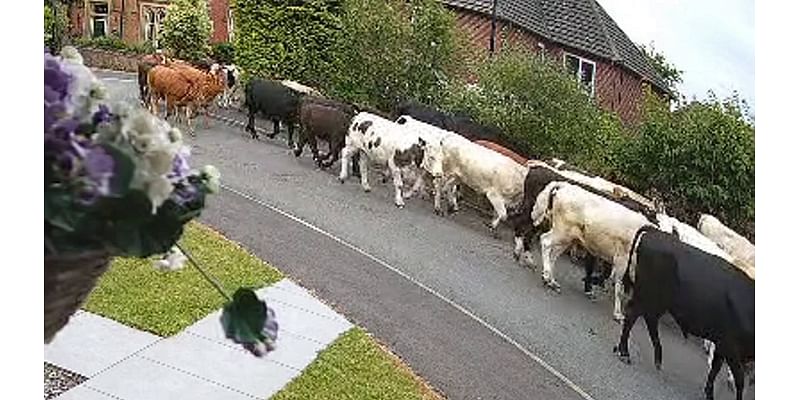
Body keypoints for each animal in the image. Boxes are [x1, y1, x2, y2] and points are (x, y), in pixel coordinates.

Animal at [532, 181, 656, 322]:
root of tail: (565, 185)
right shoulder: (622, 259)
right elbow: (619, 286)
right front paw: (618, 314)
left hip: (568, 237)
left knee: (553, 255)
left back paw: (552, 280)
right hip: (562, 231)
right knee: (545, 241)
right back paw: (547, 276)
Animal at [612, 225, 756, 400]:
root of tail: (655, 232)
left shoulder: (723, 344)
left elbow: (715, 369)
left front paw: (709, 393)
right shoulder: (732, 348)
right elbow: (739, 380)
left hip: (658, 301)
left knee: (649, 319)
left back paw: (658, 358)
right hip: (646, 293)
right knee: (632, 315)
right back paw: (625, 352)